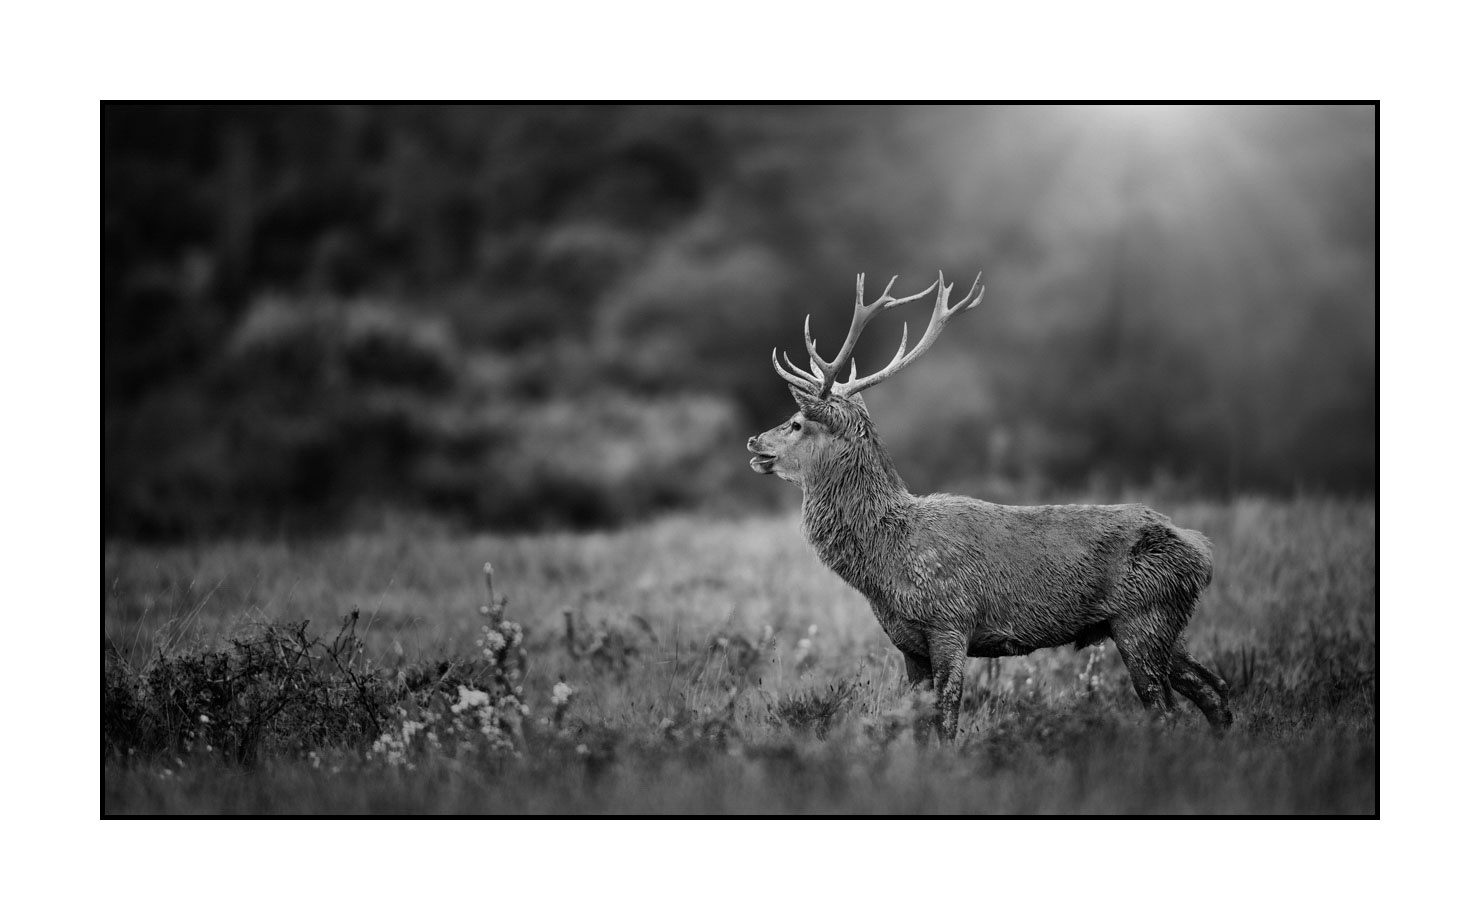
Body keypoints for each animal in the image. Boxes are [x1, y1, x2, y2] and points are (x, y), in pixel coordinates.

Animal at [747, 271, 1232, 740]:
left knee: (1166, 709)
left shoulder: (951, 621)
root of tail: (1203, 552)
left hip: (1142, 618)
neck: (887, 560)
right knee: (1215, 688)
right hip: (1165, 624)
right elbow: (919, 726)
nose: (754, 441)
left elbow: (946, 720)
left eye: (797, 423)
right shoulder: (908, 643)